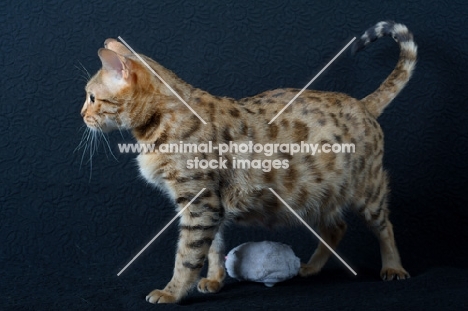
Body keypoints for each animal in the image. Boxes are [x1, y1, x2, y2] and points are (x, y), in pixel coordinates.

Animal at [81, 22, 416, 304]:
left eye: (92, 97)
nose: (82, 115)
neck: (161, 122)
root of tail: (363, 104)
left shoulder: (200, 203)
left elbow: (188, 255)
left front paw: (172, 292)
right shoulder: (211, 204)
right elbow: (214, 248)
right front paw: (214, 279)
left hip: (367, 189)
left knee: (384, 226)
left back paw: (393, 267)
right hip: (321, 195)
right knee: (337, 227)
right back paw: (311, 267)